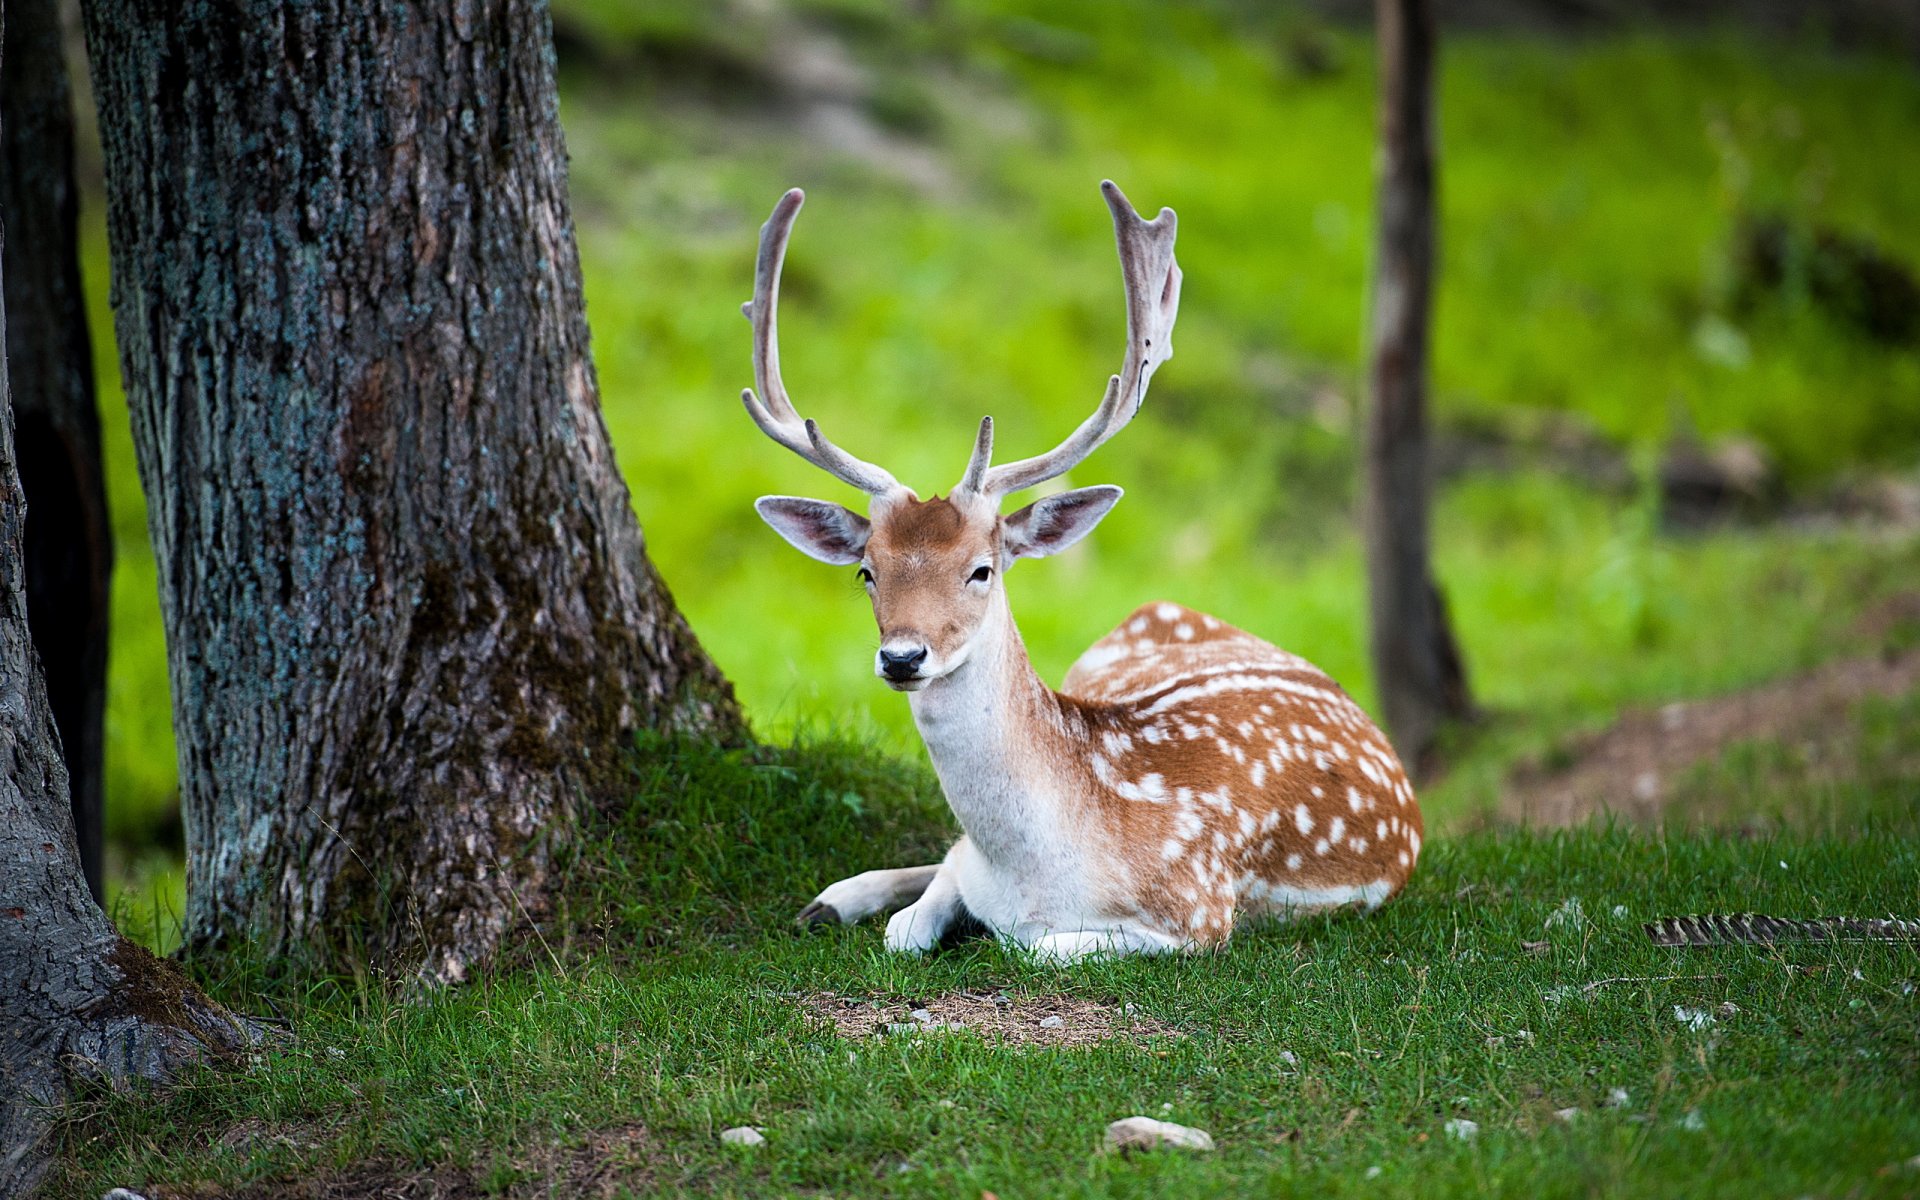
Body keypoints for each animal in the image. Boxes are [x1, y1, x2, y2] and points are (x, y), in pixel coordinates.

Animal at [739, 182, 1423, 961]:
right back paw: (831, 898)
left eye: (982, 570)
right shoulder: (970, 866)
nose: (903, 657)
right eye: (867, 572)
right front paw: (862, 903)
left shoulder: (1199, 913)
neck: (1035, 868)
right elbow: (911, 923)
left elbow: (1028, 944)